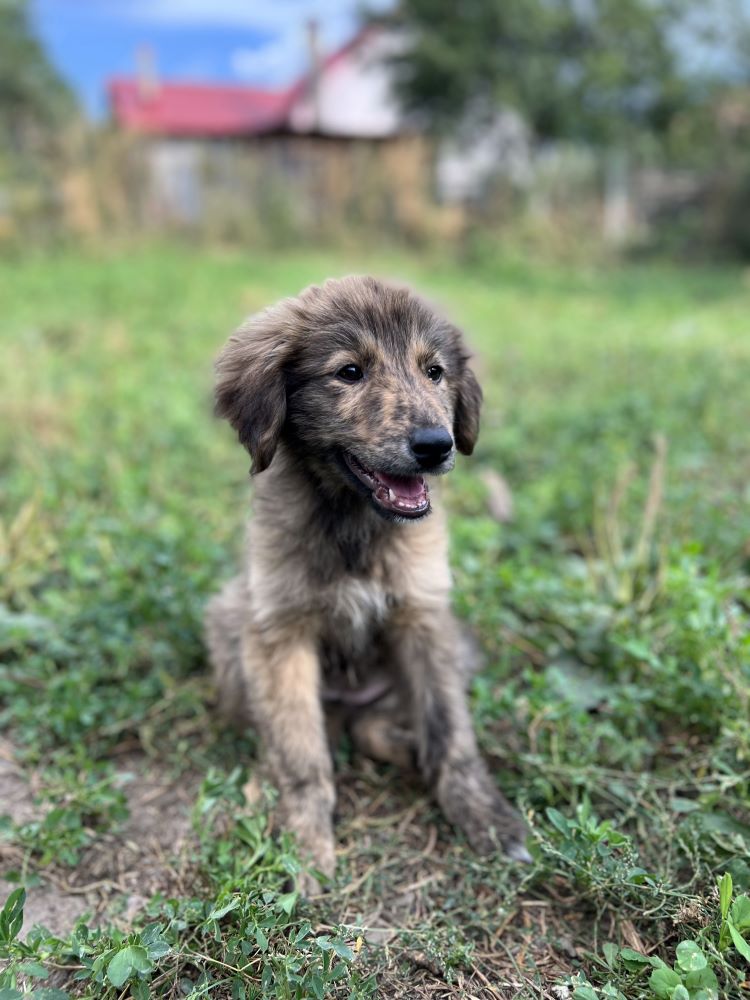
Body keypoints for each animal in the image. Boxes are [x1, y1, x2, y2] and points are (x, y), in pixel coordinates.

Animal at [206, 276, 532, 892]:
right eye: (350, 372)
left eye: (435, 371)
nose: (436, 445)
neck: (353, 522)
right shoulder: (279, 632)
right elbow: (302, 754)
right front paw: (306, 845)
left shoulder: (422, 617)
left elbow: (450, 731)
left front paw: (485, 816)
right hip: (232, 622)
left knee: (372, 725)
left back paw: (407, 746)